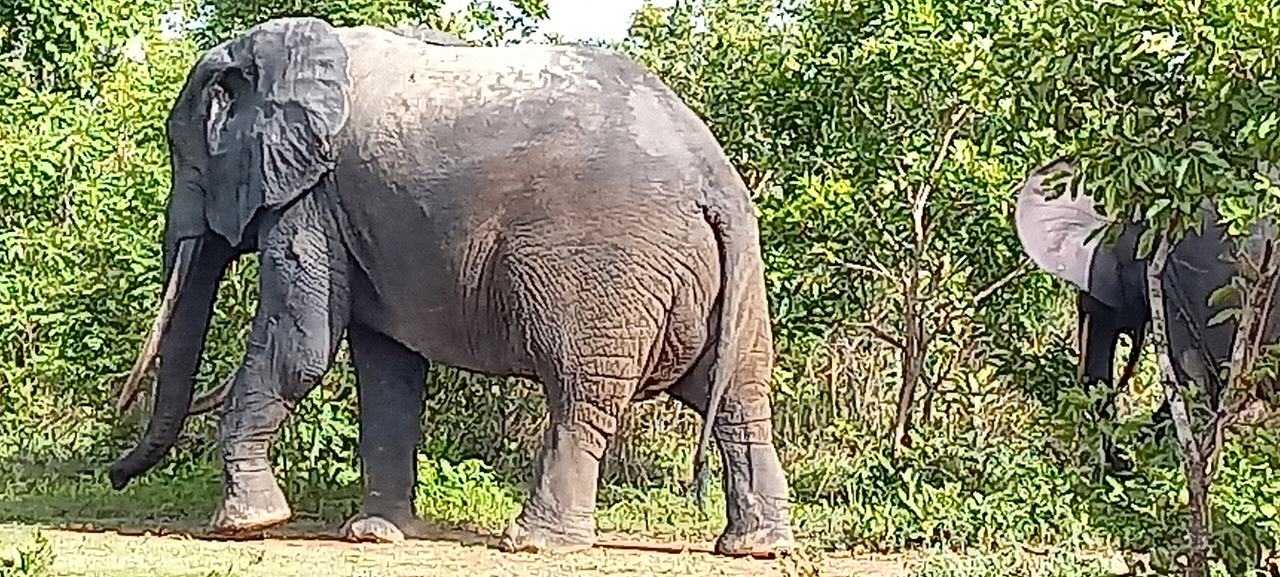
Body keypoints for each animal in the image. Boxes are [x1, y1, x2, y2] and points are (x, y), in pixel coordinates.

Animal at [106, 17, 795, 557]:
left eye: (185, 157)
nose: (114, 477)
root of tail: (713, 179)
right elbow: (387, 366)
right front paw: (376, 534)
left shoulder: (314, 197)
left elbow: (301, 345)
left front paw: (245, 524)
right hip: (724, 278)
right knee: (738, 393)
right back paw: (756, 547)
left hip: (607, 271)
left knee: (581, 389)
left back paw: (535, 543)